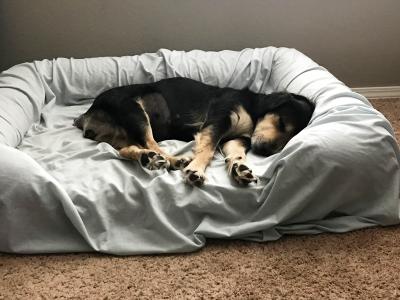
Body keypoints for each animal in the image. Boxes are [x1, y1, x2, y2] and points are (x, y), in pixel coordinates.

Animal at [73, 77, 314, 185]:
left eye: (288, 138)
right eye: (281, 123)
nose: (264, 151)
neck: (254, 109)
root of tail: (86, 114)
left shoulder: (236, 139)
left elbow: (236, 154)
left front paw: (240, 168)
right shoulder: (218, 120)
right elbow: (207, 150)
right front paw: (196, 170)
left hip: (119, 135)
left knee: (127, 150)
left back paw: (148, 158)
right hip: (135, 112)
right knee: (151, 142)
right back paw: (172, 160)